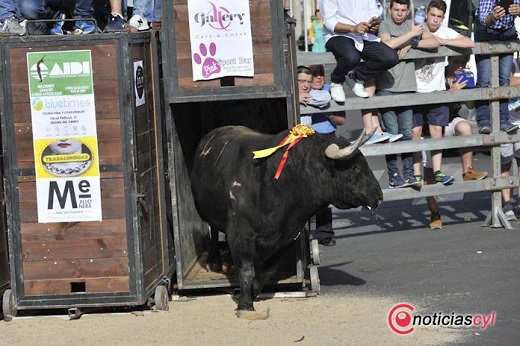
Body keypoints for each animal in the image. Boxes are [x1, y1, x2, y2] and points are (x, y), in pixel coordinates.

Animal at [191, 126, 382, 316]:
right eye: (355, 167)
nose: (379, 196)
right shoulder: (240, 234)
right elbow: (246, 271)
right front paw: (245, 305)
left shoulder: (287, 235)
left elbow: (267, 271)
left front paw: (253, 292)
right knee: (213, 231)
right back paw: (215, 260)